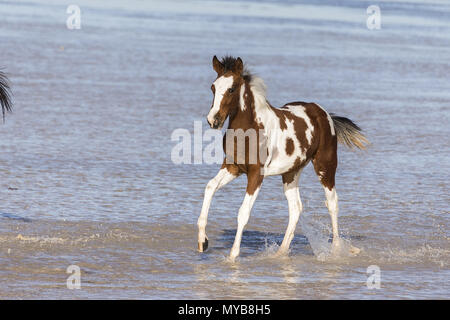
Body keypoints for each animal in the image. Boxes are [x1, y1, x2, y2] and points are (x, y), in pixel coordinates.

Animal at [199, 55, 368, 260]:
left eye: (231, 89)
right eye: (213, 87)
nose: (213, 120)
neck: (249, 130)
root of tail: (324, 114)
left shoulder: (256, 174)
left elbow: (243, 212)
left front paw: (232, 256)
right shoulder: (233, 167)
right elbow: (210, 187)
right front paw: (203, 242)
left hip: (325, 166)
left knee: (332, 203)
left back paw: (336, 249)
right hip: (291, 172)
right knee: (296, 208)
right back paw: (281, 252)